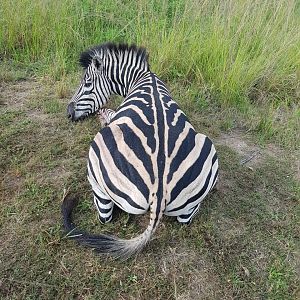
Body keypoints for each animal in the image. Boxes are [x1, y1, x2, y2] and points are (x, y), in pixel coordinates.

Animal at [63, 42, 218, 258]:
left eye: (87, 83)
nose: (68, 114)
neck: (142, 77)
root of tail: (158, 194)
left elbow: (108, 112)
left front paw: (102, 117)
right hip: (207, 153)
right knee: (186, 218)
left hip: (96, 172)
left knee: (105, 217)